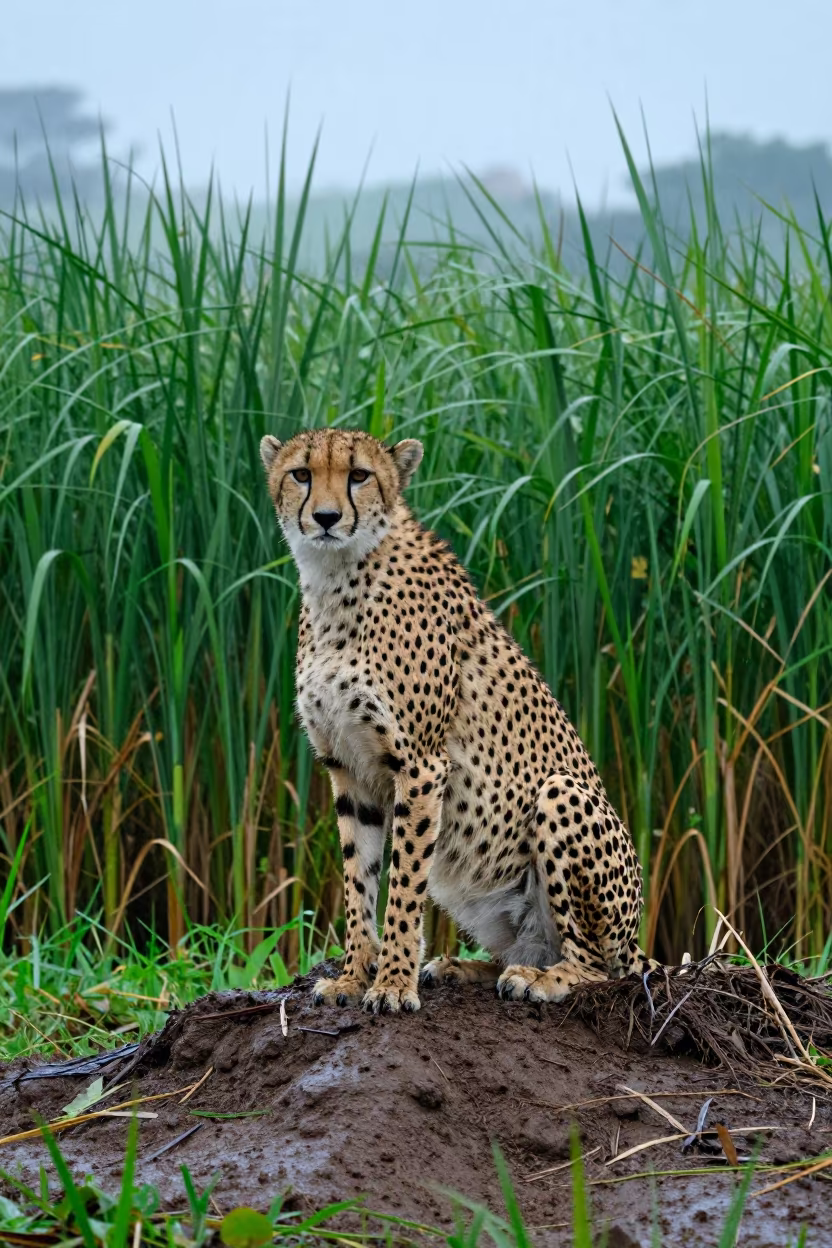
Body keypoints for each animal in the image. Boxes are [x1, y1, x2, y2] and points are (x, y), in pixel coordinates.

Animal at [261, 426, 656, 1014]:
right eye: (301, 474)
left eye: (359, 475)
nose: (327, 517)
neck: (336, 579)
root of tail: (636, 937)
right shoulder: (348, 770)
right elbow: (359, 881)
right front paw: (354, 975)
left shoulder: (421, 764)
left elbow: (403, 884)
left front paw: (392, 983)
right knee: (527, 948)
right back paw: (462, 967)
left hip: (561, 795)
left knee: (598, 965)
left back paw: (544, 979)